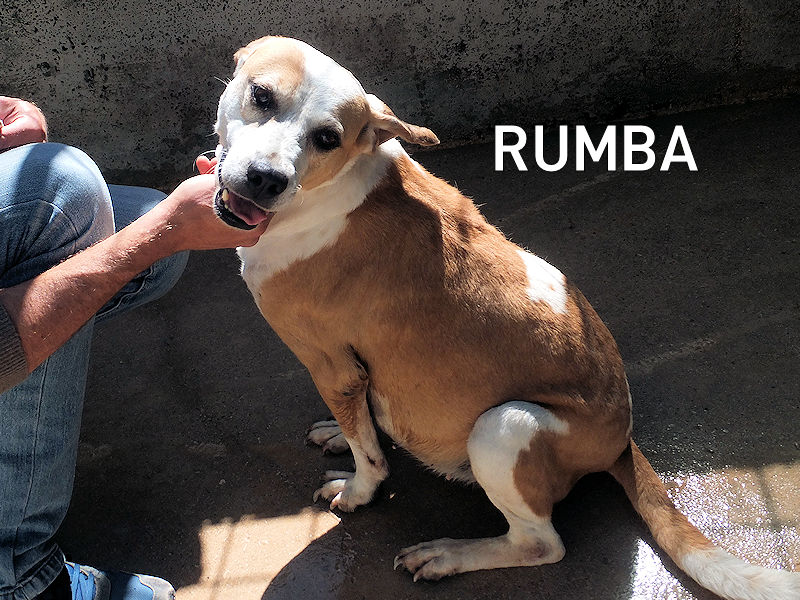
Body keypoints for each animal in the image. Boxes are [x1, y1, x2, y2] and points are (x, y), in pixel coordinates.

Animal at [212, 36, 800, 600]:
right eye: (262, 96)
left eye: (327, 138)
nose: (264, 179)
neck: (332, 187)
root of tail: (622, 438)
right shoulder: (352, 378)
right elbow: (362, 429)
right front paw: (344, 430)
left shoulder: (331, 364)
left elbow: (370, 459)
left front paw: (358, 492)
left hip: (502, 427)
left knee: (542, 544)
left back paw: (450, 555)